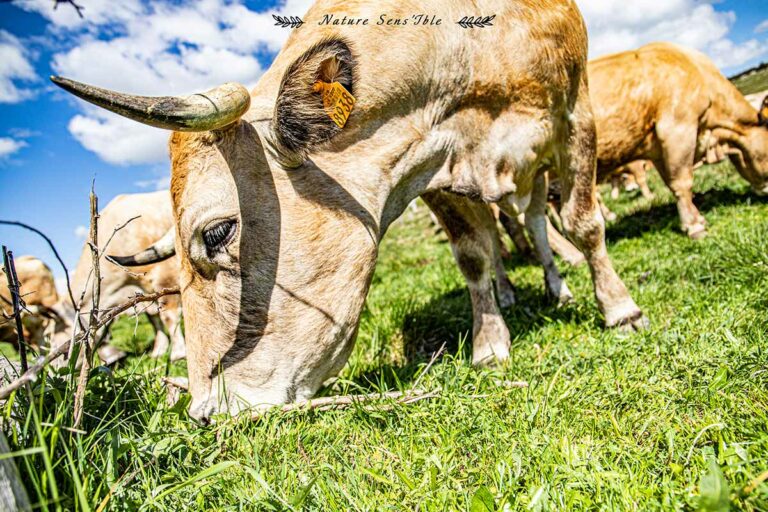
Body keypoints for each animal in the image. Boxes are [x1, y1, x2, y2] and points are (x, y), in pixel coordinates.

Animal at [48, 191, 185, 363]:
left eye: (63, 352)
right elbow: (154, 318)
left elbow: (168, 315)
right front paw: (159, 350)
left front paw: (178, 354)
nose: (53, 369)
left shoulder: (165, 274)